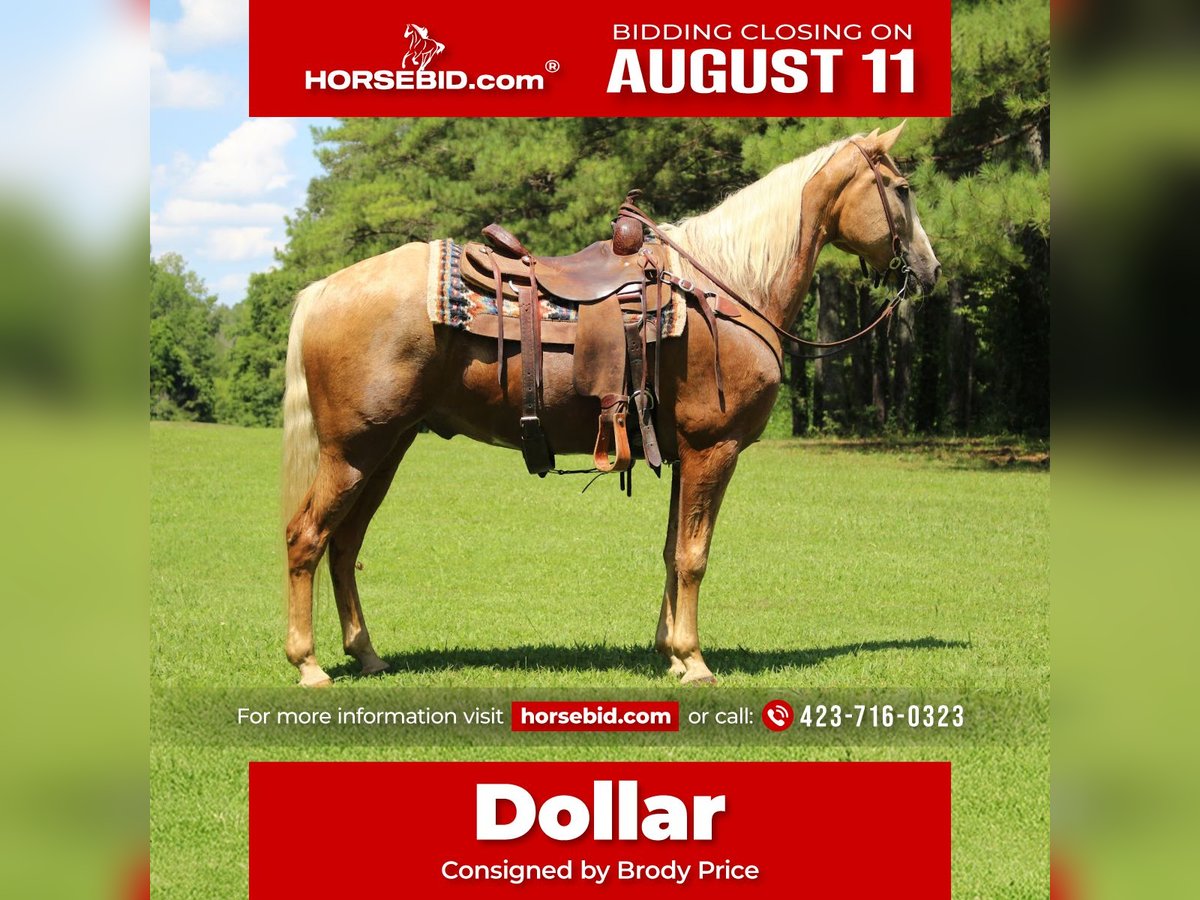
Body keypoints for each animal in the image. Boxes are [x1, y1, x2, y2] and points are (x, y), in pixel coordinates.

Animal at [280, 122, 940, 687]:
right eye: (902, 190)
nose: (931, 270)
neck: (726, 288)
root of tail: (322, 290)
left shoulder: (682, 453)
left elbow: (673, 550)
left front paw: (670, 653)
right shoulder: (713, 449)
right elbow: (695, 555)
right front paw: (695, 661)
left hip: (386, 449)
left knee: (344, 545)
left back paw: (367, 655)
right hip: (354, 451)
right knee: (306, 537)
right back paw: (309, 665)